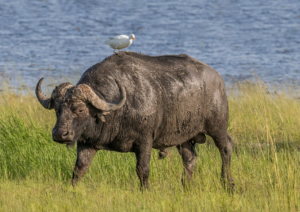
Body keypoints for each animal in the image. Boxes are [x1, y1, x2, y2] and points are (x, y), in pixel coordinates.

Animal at [35, 51, 234, 190]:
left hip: (218, 127)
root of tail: (218, 79)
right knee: (189, 158)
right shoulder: (86, 143)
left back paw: (228, 183)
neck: (119, 111)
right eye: (58, 110)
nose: (60, 134)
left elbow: (142, 169)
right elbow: (79, 168)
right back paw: (186, 186)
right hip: (184, 137)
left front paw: (145, 190)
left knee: (226, 148)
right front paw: (72, 189)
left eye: (80, 109)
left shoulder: (145, 141)